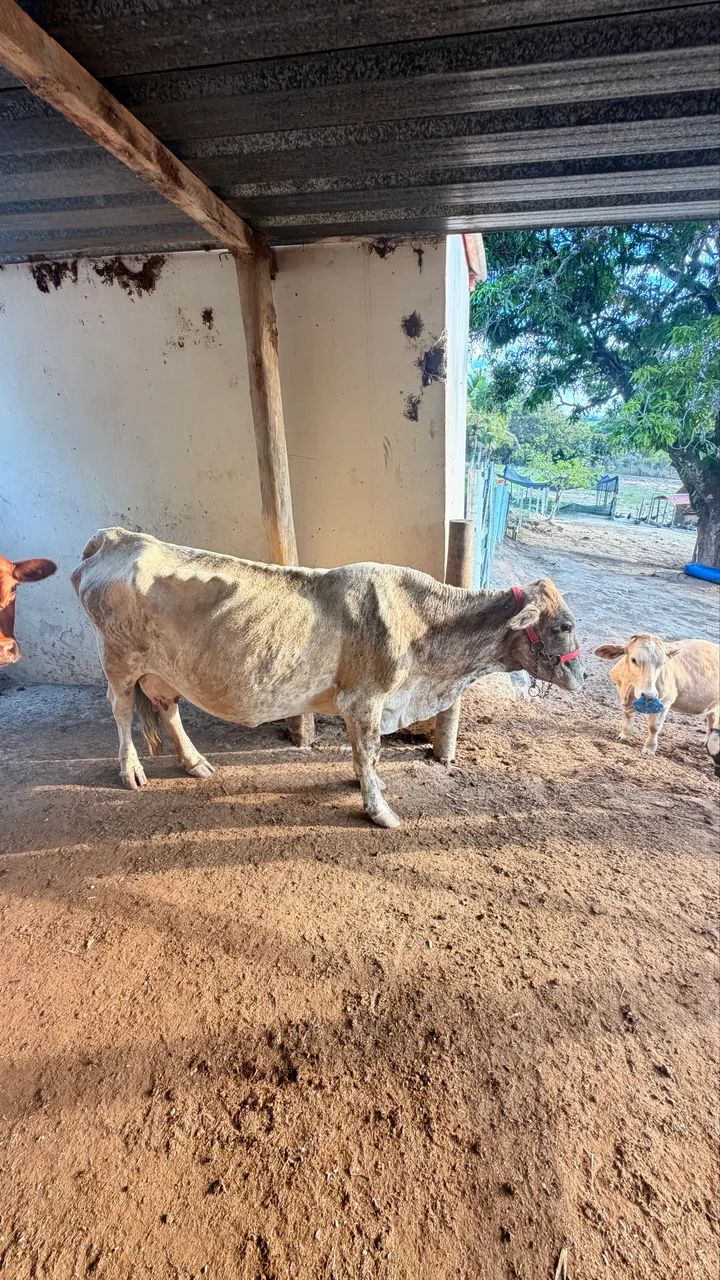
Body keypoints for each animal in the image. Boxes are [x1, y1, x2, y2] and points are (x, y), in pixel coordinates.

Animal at [72, 527, 585, 828]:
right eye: (564, 626)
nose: (582, 674)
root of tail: (118, 536)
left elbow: (363, 753)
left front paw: (365, 788)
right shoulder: (365, 699)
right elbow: (369, 752)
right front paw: (380, 810)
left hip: (163, 669)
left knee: (167, 707)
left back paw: (195, 763)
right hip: (118, 659)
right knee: (121, 711)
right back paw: (131, 770)